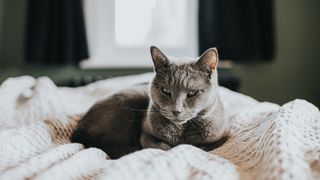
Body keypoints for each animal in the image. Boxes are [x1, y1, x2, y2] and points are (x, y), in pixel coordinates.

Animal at [71, 45, 229, 158]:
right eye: (166, 90)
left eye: (192, 93)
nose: (176, 110)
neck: (182, 130)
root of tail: (79, 128)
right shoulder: (145, 135)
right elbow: (163, 146)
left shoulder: (224, 135)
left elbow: (203, 146)